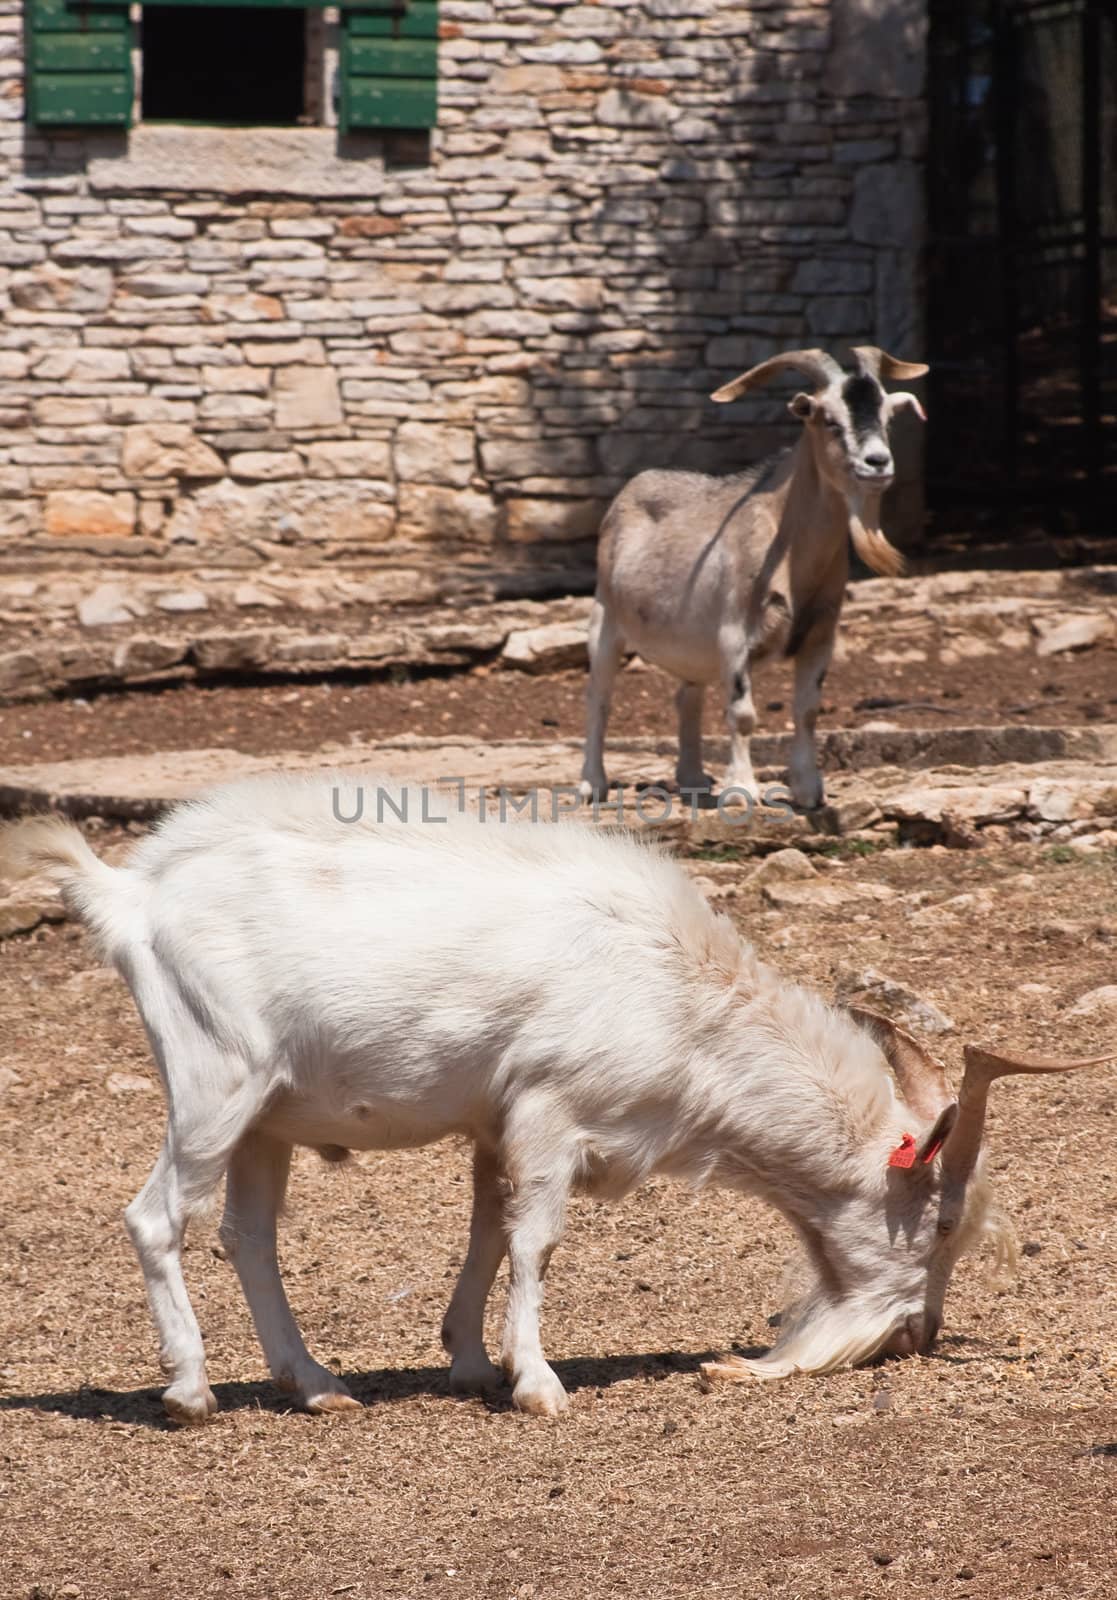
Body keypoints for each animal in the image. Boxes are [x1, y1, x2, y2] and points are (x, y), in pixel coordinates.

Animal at [4, 777, 1107, 1427]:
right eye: (939, 1229)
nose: (917, 1336)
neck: (680, 992)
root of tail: (132, 896)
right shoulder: (552, 1106)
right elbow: (535, 1240)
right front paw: (537, 1383)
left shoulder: (499, 1122)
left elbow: (488, 1226)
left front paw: (467, 1361)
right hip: (213, 1079)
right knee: (157, 1217)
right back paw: (190, 1389)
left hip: (267, 1114)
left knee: (247, 1233)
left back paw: (317, 1385)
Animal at [579, 342, 928, 806]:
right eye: (829, 420)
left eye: (887, 417)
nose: (877, 464)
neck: (786, 548)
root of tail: (629, 491)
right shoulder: (735, 635)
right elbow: (742, 714)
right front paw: (742, 791)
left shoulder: (820, 636)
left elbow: (808, 710)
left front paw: (809, 789)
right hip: (605, 618)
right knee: (599, 697)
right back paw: (592, 784)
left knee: (687, 695)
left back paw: (693, 778)